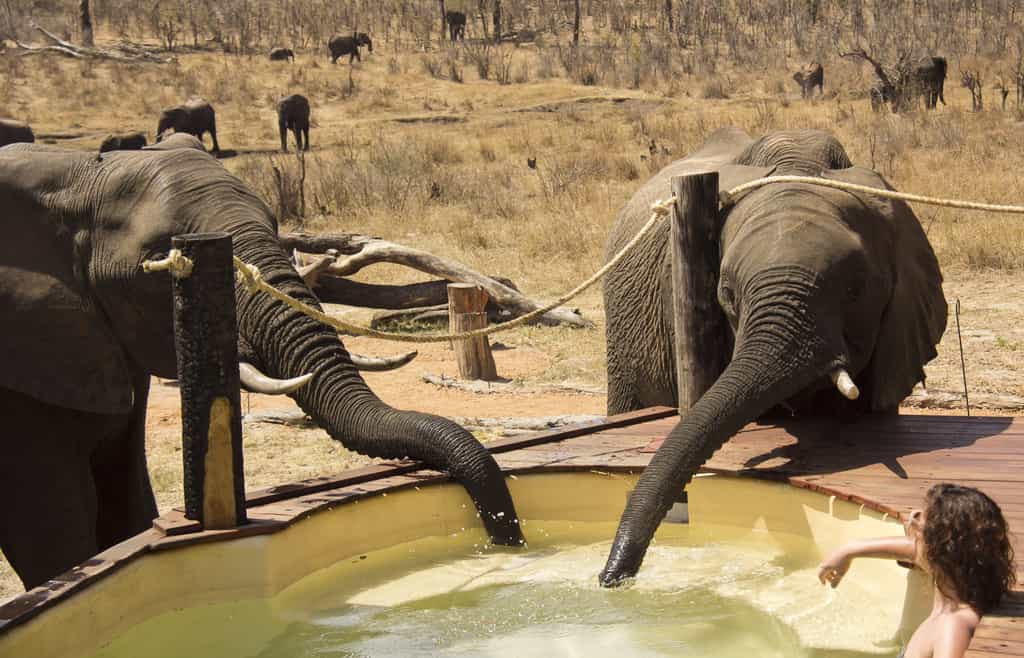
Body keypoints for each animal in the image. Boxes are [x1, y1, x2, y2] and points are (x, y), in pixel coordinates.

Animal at [0, 142, 523, 590]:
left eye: (277, 228)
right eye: (160, 259)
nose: (505, 536)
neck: (76, 174)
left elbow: (124, 498)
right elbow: (52, 525)